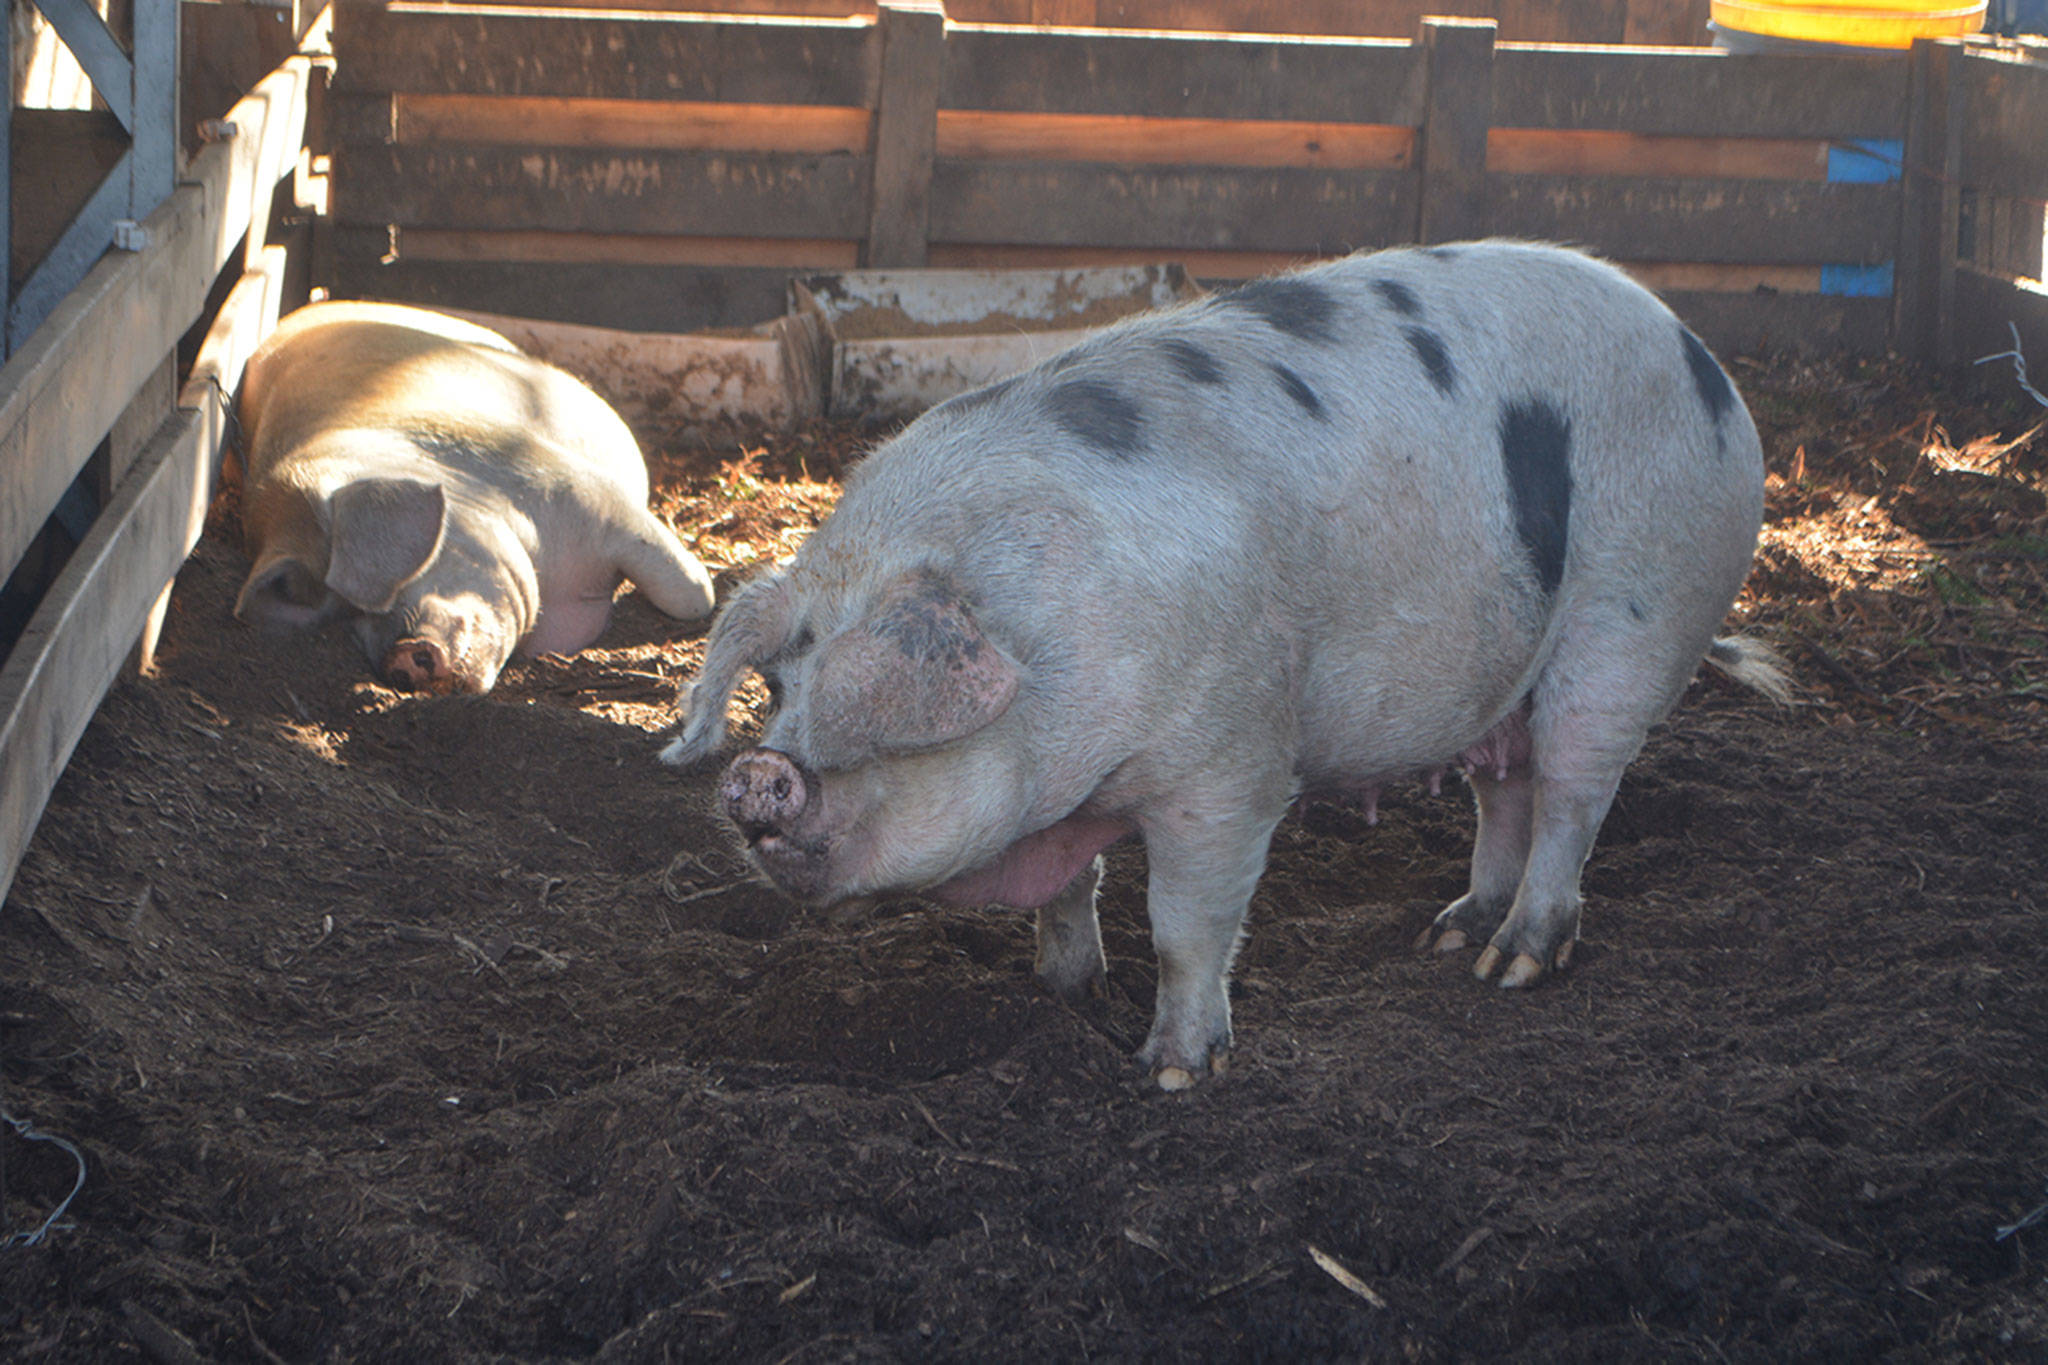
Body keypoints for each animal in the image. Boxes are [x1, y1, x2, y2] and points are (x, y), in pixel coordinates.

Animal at [663, 241, 1789, 1089]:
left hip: (1632, 616)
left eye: (878, 711)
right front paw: (1064, 993)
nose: (754, 774)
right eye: (780, 685)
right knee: (1502, 790)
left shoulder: (1231, 763)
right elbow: (1072, 893)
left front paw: (1169, 1071)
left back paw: (1507, 967)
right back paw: (1447, 935)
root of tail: (1704, 362)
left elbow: (1184, 925)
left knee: (1572, 794)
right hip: (1502, 666)